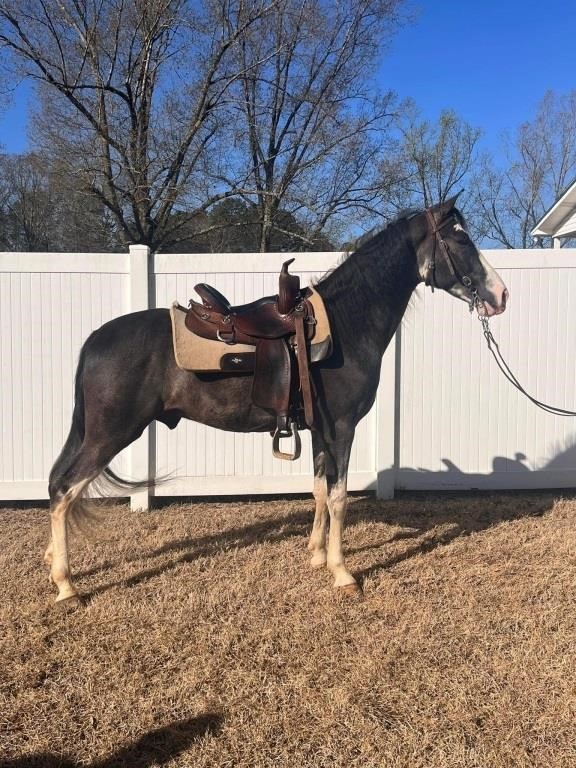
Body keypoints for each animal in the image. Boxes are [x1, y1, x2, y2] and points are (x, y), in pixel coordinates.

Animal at [47, 196, 508, 608]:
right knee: (64, 490)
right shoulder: (342, 428)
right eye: (461, 239)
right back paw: (67, 584)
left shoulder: (321, 429)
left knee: (57, 485)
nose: (501, 295)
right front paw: (342, 573)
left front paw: (317, 556)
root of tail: (95, 339)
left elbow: (319, 490)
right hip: (110, 434)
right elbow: (339, 497)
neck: (346, 324)